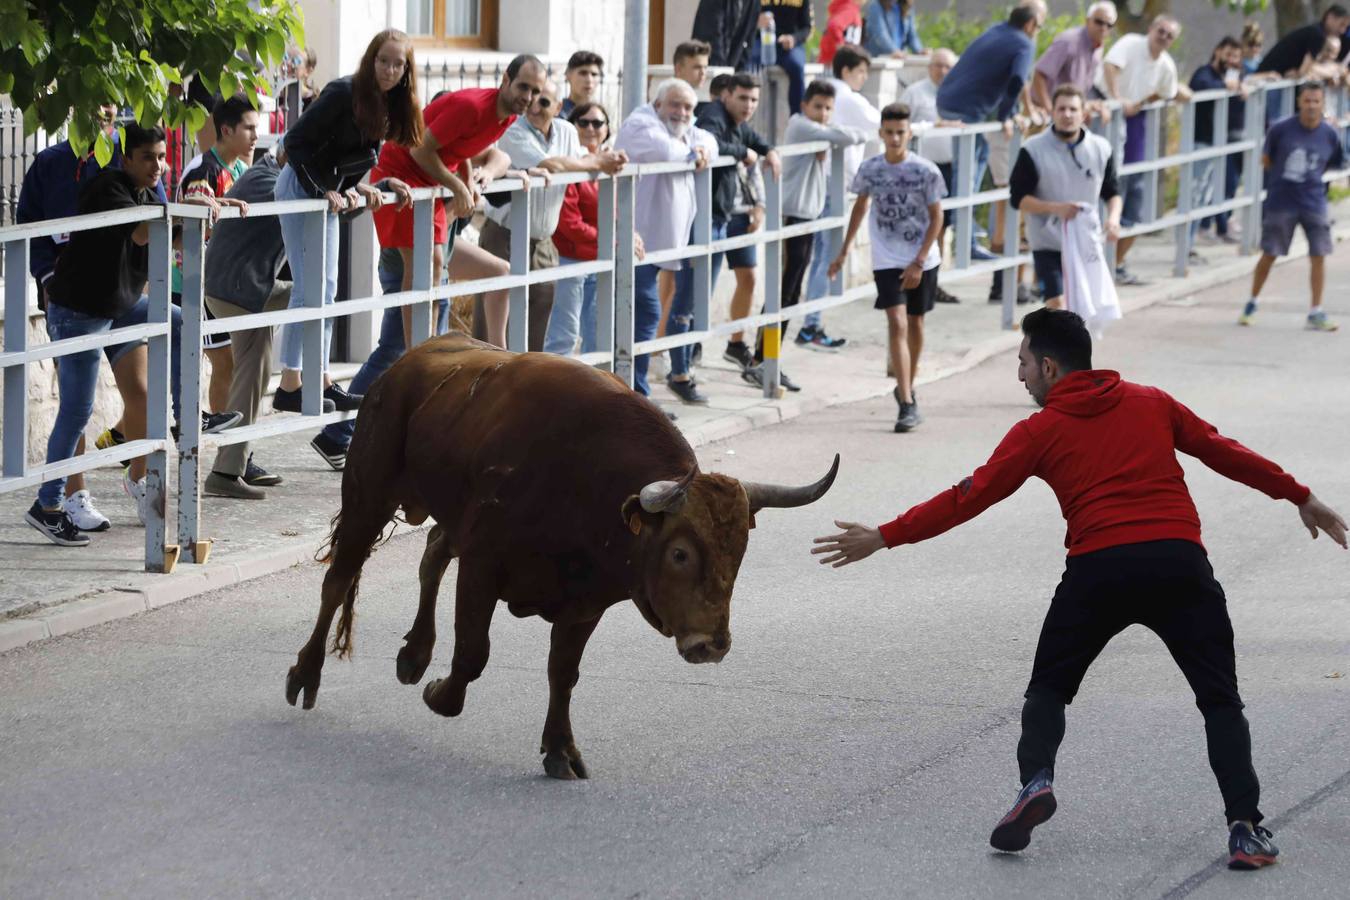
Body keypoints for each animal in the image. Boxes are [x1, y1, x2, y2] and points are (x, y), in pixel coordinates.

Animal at [284, 334, 831, 777]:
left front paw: (560, 750)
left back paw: (414, 654)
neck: (587, 480)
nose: (711, 645)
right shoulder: (482, 566)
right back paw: (306, 674)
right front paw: (441, 694)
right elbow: (473, 653)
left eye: (738, 552)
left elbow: (563, 673)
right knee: (339, 580)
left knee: (433, 552)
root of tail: (405, 365)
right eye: (679, 553)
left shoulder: (585, 604)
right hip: (368, 496)